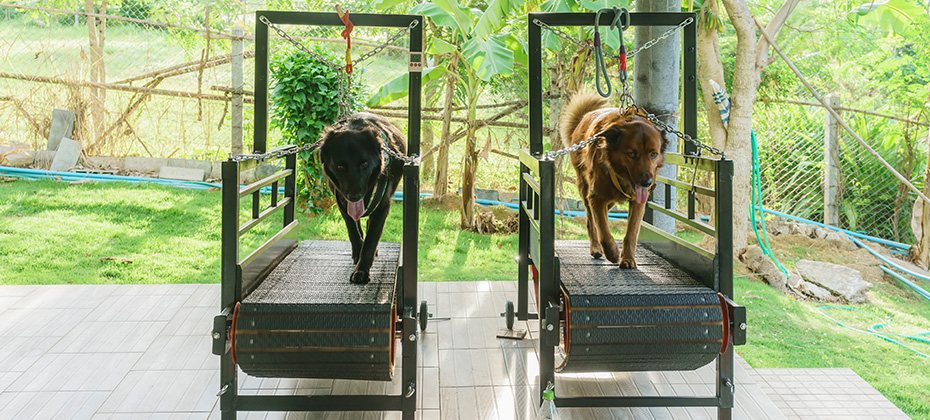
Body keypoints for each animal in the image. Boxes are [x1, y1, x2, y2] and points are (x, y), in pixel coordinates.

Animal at [320, 112, 406, 286]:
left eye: (364, 164)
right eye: (340, 166)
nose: (354, 197)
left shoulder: (382, 207)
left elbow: (371, 240)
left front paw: (361, 271)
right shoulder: (342, 201)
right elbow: (353, 231)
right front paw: (357, 254)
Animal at [560, 92, 668, 270]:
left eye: (653, 154)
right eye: (631, 154)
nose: (646, 183)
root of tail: (585, 117)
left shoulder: (637, 202)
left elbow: (631, 232)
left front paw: (628, 259)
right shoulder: (596, 198)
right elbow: (603, 230)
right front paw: (612, 253)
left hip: (609, 200)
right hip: (585, 189)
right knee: (591, 221)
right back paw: (596, 248)